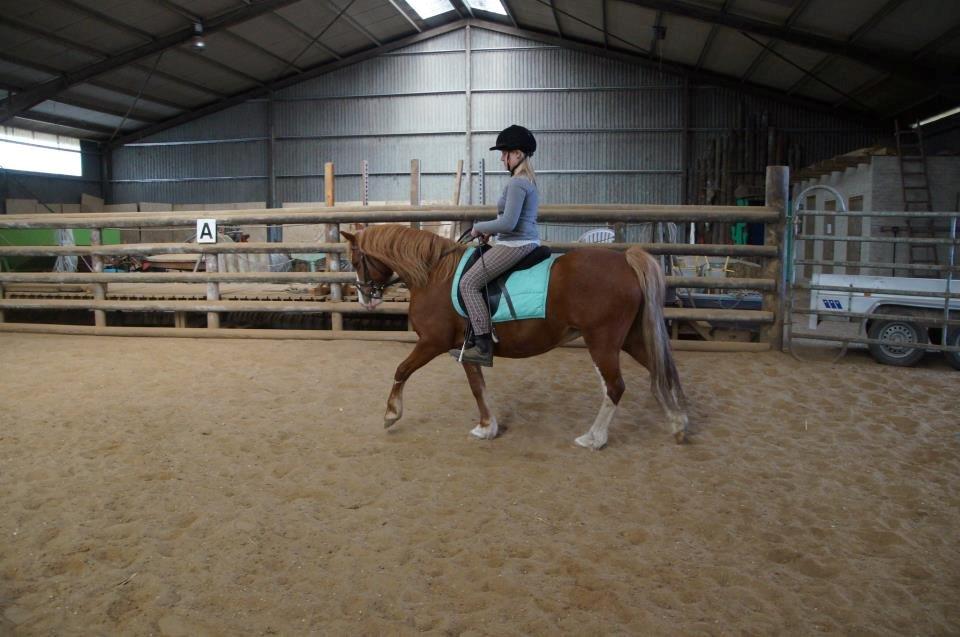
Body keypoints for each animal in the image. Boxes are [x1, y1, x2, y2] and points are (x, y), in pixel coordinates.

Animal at [342, 224, 688, 448]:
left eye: (356, 260)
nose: (365, 299)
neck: (434, 274)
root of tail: (624, 260)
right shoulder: (466, 348)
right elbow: (477, 387)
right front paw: (487, 427)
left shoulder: (432, 342)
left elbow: (402, 370)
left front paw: (391, 414)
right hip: (629, 338)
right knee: (658, 370)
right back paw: (678, 423)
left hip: (601, 342)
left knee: (616, 386)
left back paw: (594, 438)